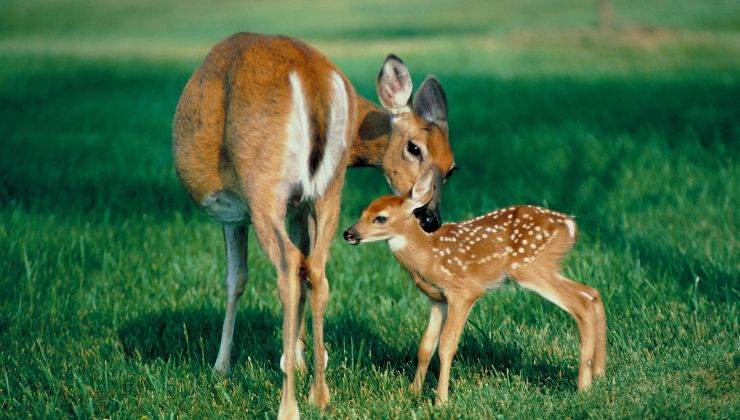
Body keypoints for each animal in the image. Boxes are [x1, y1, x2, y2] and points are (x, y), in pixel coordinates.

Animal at [171, 33, 454, 420]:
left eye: (450, 168)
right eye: (415, 148)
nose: (430, 217)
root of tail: (312, 79)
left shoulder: (235, 212)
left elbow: (236, 280)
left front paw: (221, 366)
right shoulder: (300, 206)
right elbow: (301, 272)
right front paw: (300, 357)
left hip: (264, 183)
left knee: (290, 266)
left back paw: (289, 404)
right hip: (329, 188)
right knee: (316, 268)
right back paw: (320, 393)